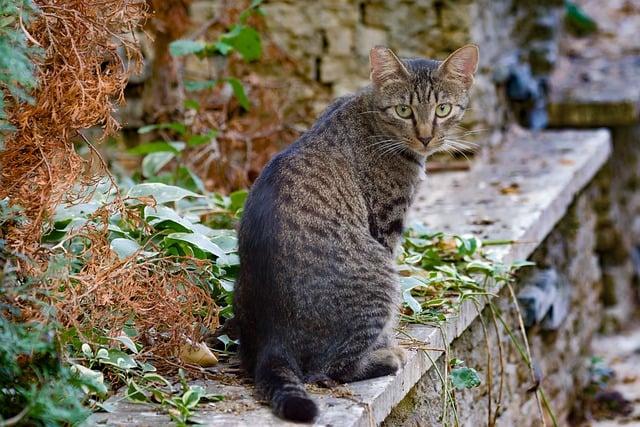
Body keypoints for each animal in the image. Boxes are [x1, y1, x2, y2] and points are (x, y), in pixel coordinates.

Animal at [232, 45, 478, 422]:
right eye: (404, 110)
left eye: (443, 109)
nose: (425, 136)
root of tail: (274, 342)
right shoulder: (385, 224)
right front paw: (389, 344)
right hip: (381, 278)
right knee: (328, 369)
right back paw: (385, 357)